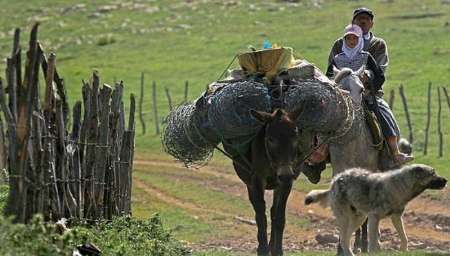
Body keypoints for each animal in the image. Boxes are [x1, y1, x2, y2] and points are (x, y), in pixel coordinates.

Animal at [306, 165, 446, 255]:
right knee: (344, 239)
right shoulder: (374, 218)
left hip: (359, 219)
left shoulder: (396, 217)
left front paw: (403, 250)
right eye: (432, 174)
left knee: (346, 238)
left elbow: (404, 237)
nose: (446, 180)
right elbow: (373, 242)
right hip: (346, 219)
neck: (400, 186)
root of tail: (336, 180)